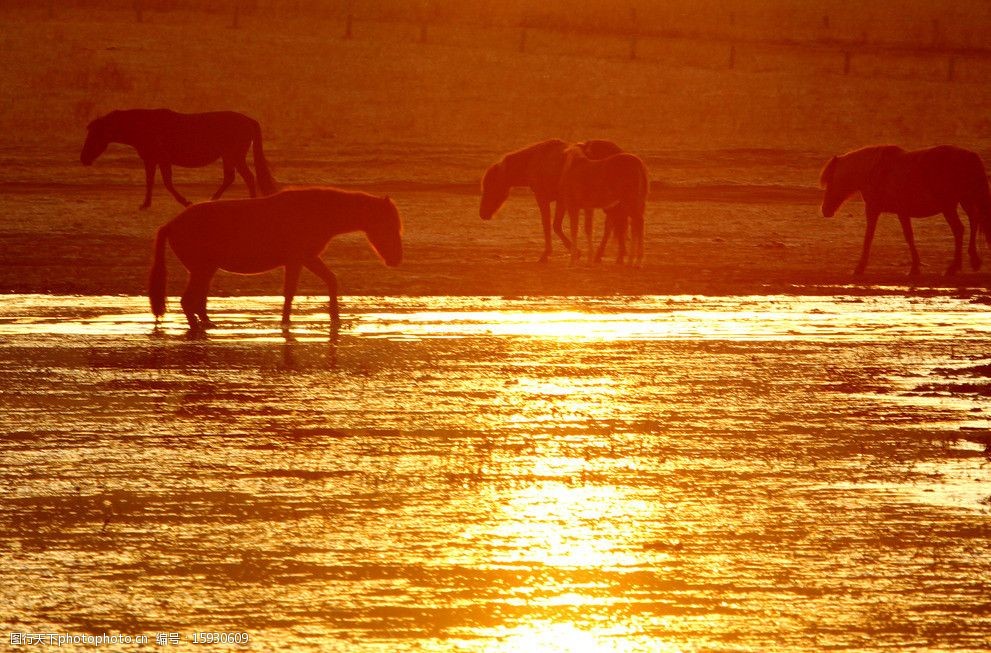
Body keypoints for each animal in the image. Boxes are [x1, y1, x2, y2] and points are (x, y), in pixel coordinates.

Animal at [78, 108, 276, 208]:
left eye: (95, 134)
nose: (83, 158)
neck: (142, 126)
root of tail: (249, 120)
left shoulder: (161, 159)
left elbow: (167, 182)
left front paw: (185, 201)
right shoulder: (151, 159)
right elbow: (150, 181)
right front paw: (146, 203)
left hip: (233, 155)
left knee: (247, 177)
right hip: (230, 156)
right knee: (233, 177)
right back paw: (214, 199)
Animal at [150, 187, 404, 332]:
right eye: (389, 225)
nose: (396, 260)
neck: (319, 211)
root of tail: (171, 224)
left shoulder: (307, 258)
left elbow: (330, 281)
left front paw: (335, 320)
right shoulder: (298, 260)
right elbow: (290, 291)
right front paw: (285, 324)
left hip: (206, 270)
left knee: (198, 303)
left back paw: (210, 325)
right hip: (201, 270)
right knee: (188, 302)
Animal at [478, 139, 620, 262]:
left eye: (490, 186)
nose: (483, 214)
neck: (535, 160)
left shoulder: (543, 198)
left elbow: (548, 224)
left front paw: (547, 254)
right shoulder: (561, 201)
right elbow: (556, 225)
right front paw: (575, 252)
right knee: (610, 225)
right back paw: (600, 255)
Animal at [820, 144, 991, 276]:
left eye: (830, 181)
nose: (825, 210)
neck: (874, 170)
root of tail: (968, 156)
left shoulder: (873, 209)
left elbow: (869, 237)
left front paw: (859, 268)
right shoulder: (902, 212)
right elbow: (909, 236)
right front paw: (915, 267)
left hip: (949, 207)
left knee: (959, 229)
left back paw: (954, 267)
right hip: (965, 201)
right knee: (974, 222)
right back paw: (974, 261)